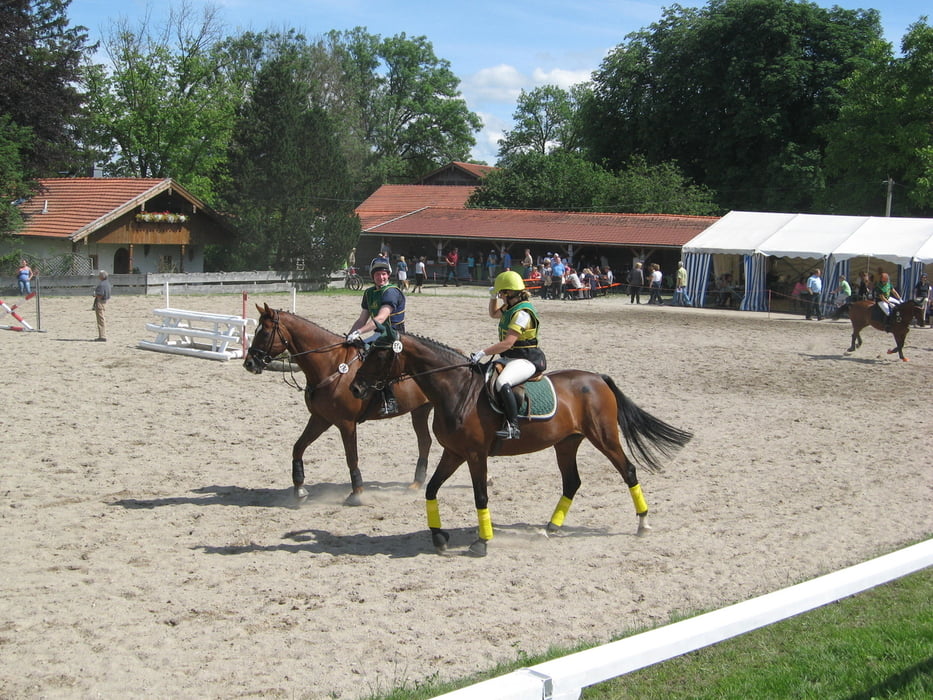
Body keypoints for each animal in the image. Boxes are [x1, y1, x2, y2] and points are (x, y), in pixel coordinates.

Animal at [240, 304, 430, 506]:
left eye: (265, 333)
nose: (249, 363)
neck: (331, 364)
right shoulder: (320, 419)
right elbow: (298, 447)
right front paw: (299, 489)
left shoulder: (346, 424)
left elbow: (351, 458)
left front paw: (357, 493)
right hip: (420, 411)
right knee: (425, 441)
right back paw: (417, 482)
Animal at [350, 322, 692, 556]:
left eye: (379, 354)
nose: (355, 388)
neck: (457, 390)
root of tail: (598, 378)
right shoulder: (454, 452)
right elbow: (431, 489)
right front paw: (438, 536)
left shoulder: (475, 455)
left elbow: (480, 497)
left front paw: (482, 542)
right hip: (567, 443)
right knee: (572, 482)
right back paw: (551, 528)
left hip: (604, 438)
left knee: (628, 471)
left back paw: (643, 524)